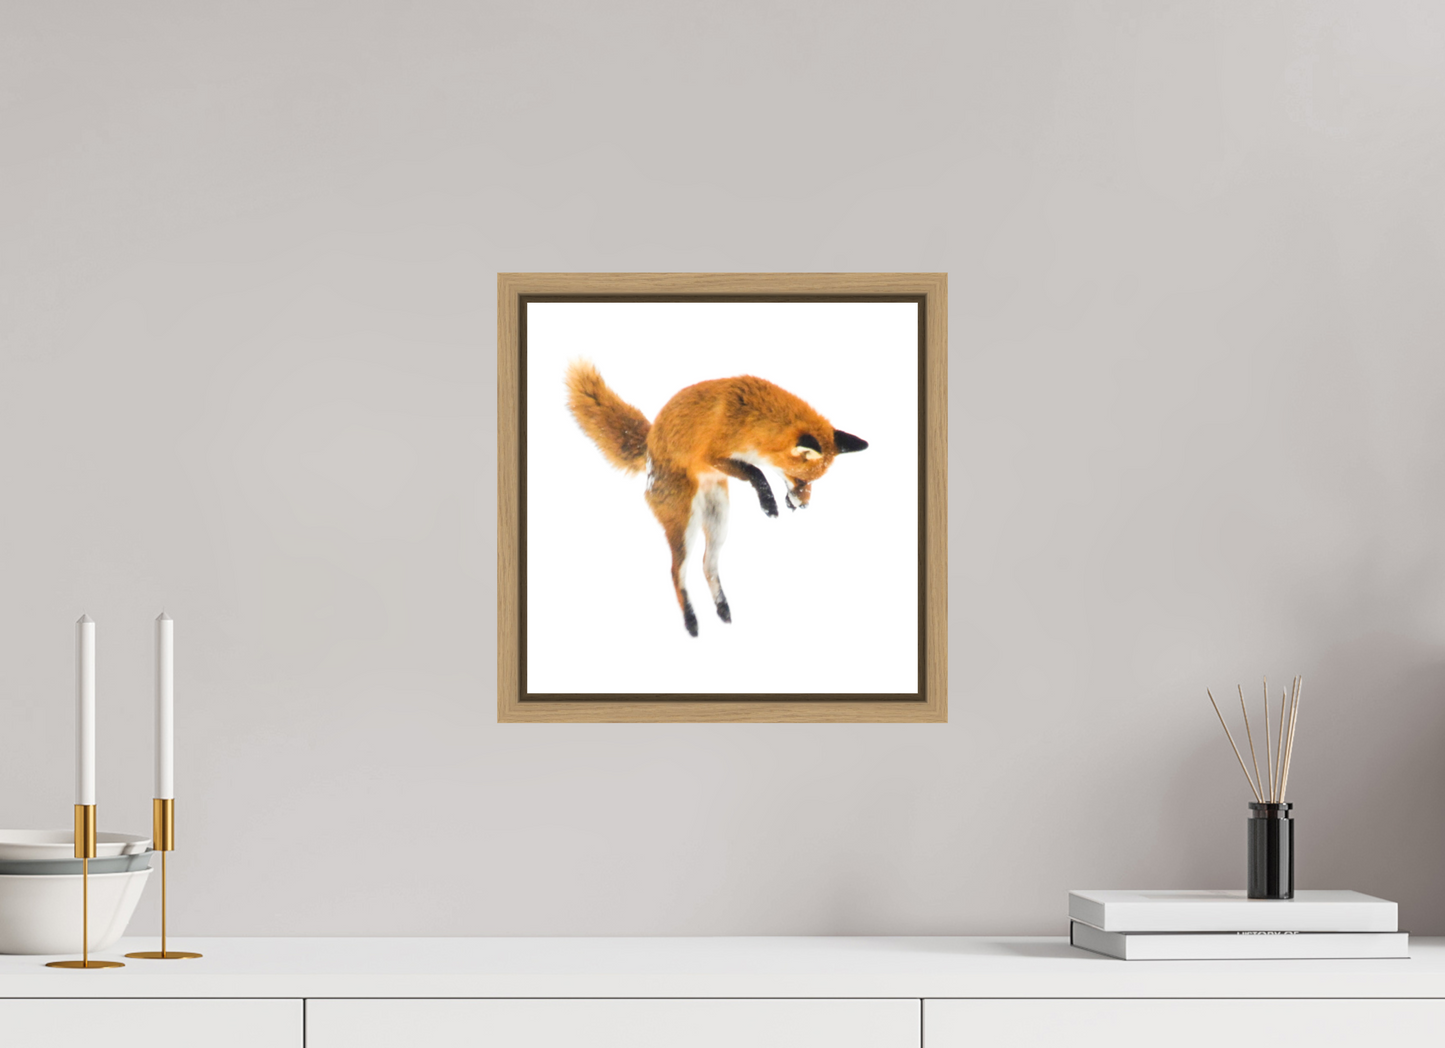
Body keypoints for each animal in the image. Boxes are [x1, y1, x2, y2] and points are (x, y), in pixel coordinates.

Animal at [565, 360, 868, 636]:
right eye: (802, 481)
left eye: (812, 483)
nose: (804, 506)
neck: (753, 418)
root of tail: (649, 446)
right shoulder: (713, 455)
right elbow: (756, 472)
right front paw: (768, 503)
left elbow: (756, 471)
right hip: (685, 525)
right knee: (676, 572)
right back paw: (690, 621)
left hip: (719, 521)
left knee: (707, 565)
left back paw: (722, 607)